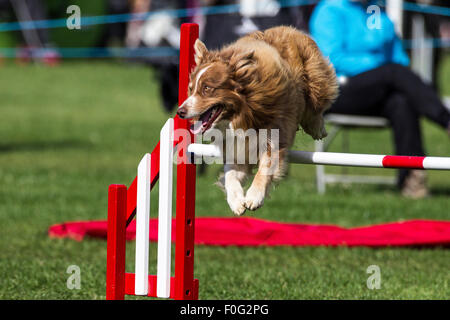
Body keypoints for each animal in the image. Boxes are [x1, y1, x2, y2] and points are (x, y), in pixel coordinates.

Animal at [176, 26, 338, 216]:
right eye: (191, 89)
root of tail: (287, 28)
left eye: (207, 88)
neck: (243, 113)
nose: (180, 112)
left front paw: (254, 197)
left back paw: (318, 128)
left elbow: (266, 168)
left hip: (315, 79)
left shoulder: (274, 136)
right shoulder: (237, 149)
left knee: (317, 103)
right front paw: (236, 202)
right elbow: (230, 174)